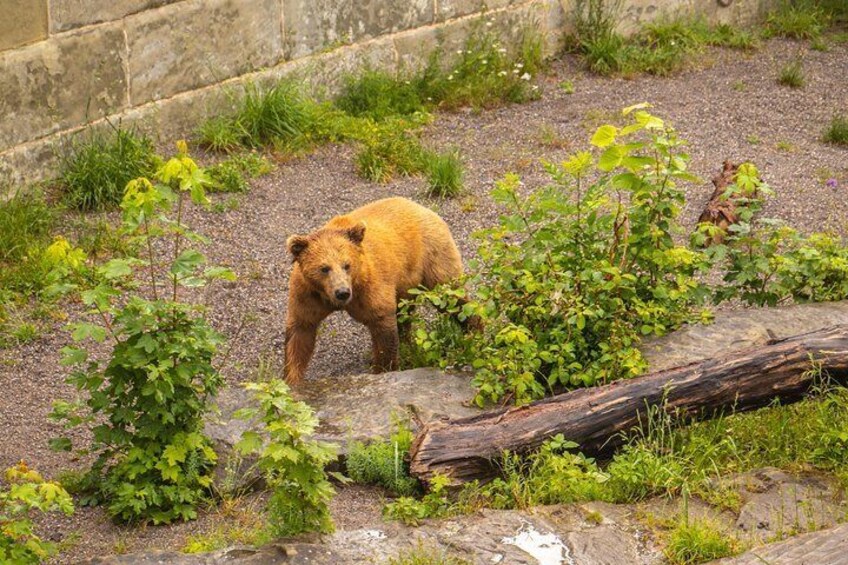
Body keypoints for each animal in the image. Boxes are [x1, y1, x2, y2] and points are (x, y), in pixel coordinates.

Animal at [284, 196, 460, 382]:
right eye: (324, 268)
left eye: (347, 265)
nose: (342, 293)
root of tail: (419, 206)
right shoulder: (307, 294)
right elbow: (300, 333)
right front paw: (292, 378)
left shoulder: (370, 288)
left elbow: (383, 328)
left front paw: (382, 369)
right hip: (406, 281)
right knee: (404, 312)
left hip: (433, 256)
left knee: (451, 296)